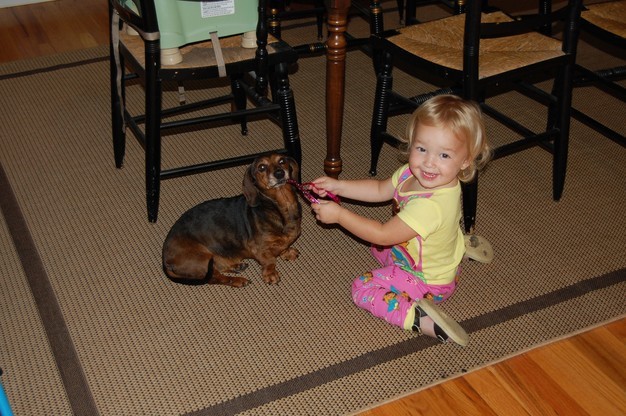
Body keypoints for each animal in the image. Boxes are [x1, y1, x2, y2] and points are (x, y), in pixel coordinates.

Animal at [162, 154, 302, 287]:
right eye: (261, 167)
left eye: (282, 161)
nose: (279, 173)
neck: (280, 206)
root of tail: (165, 259)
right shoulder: (258, 249)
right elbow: (269, 261)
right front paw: (270, 274)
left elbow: (283, 246)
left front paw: (287, 252)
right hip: (202, 258)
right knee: (215, 277)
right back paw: (237, 281)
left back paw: (237, 266)